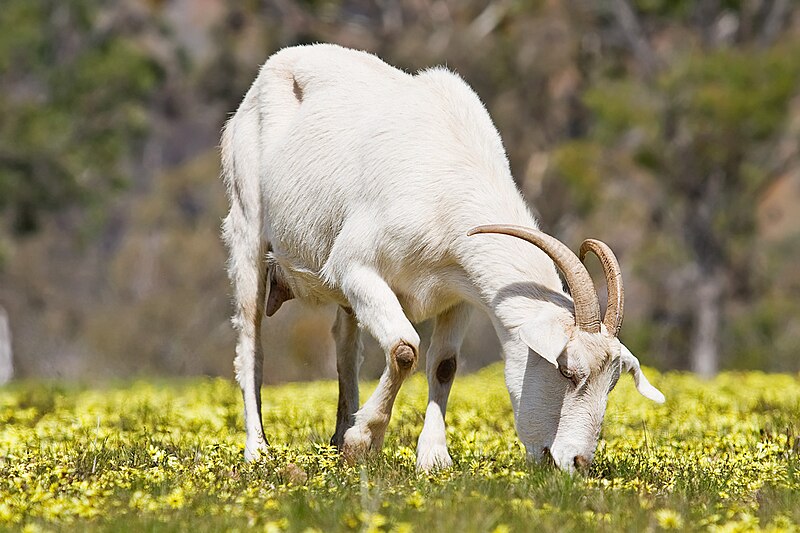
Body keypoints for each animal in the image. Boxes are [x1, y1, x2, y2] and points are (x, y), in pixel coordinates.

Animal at [220, 43, 664, 472]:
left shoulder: (461, 293)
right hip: (247, 227)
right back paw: (258, 449)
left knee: (346, 349)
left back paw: (338, 434)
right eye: (568, 372)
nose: (577, 462)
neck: (447, 185)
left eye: (612, 383)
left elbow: (444, 364)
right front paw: (364, 442)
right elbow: (404, 349)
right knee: (250, 343)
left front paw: (432, 458)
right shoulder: (355, 267)